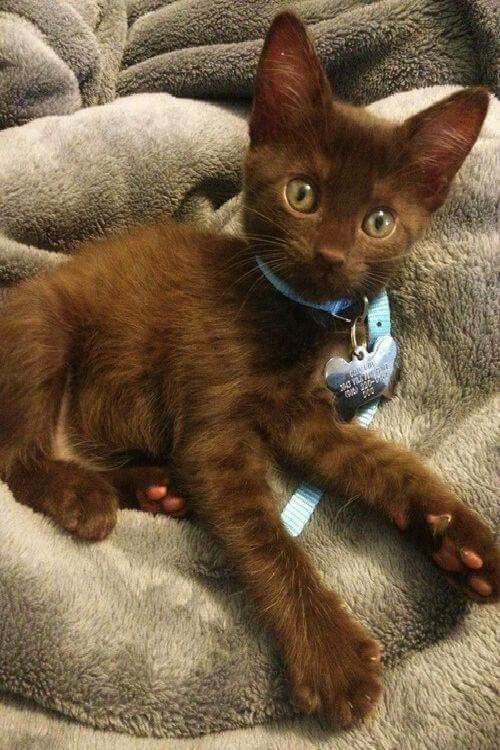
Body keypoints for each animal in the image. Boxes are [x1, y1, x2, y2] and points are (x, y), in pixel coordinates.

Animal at [0, 10, 496, 728]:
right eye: (302, 194)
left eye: (378, 221)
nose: (329, 255)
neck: (291, 316)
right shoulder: (216, 436)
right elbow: (268, 541)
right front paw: (332, 656)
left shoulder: (308, 416)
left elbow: (388, 465)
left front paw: (458, 537)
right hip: (42, 324)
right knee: (19, 458)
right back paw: (83, 497)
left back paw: (151, 485)